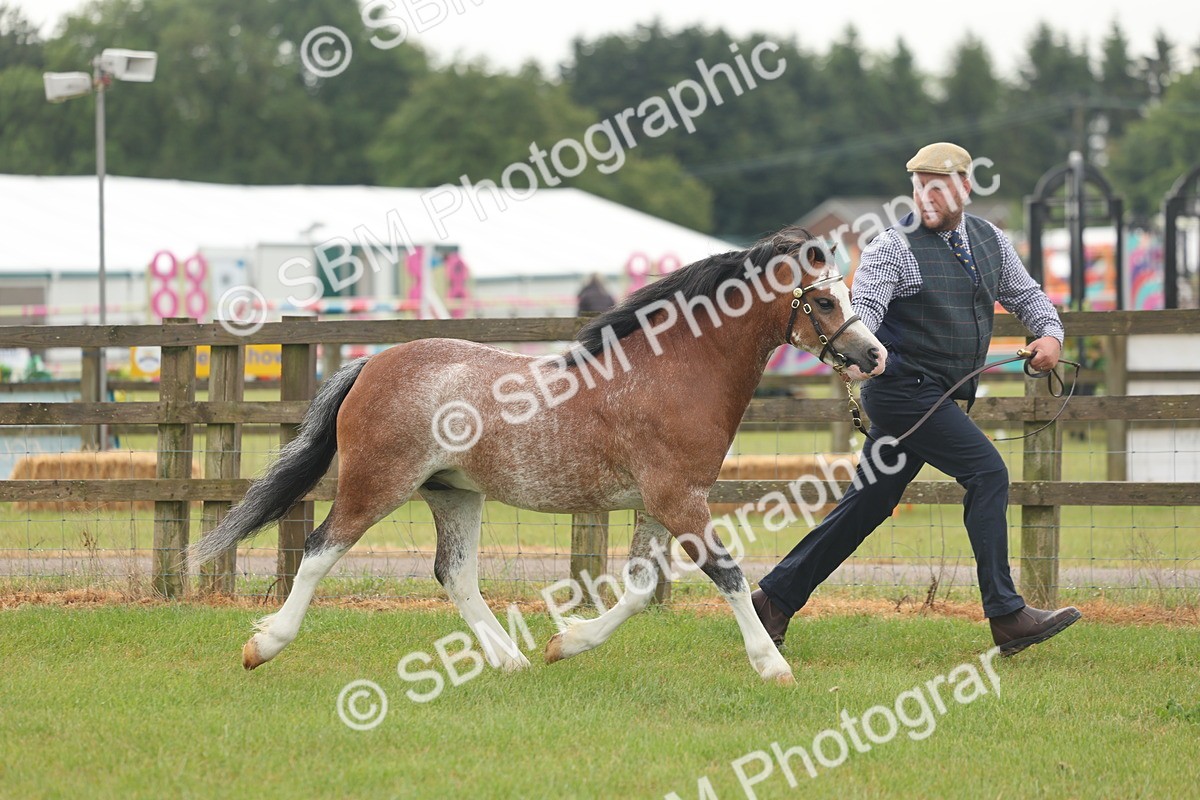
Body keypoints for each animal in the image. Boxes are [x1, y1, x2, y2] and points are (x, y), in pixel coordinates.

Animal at [191, 225, 887, 683]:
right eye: (826, 300)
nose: (874, 356)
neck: (671, 373)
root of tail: (372, 365)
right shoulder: (680, 501)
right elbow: (729, 575)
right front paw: (772, 666)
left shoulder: (661, 504)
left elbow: (639, 590)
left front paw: (564, 644)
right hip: (376, 484)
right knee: (317, 552)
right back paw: (264, 646)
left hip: (454, 493)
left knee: (455, 575)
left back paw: (511, 659)